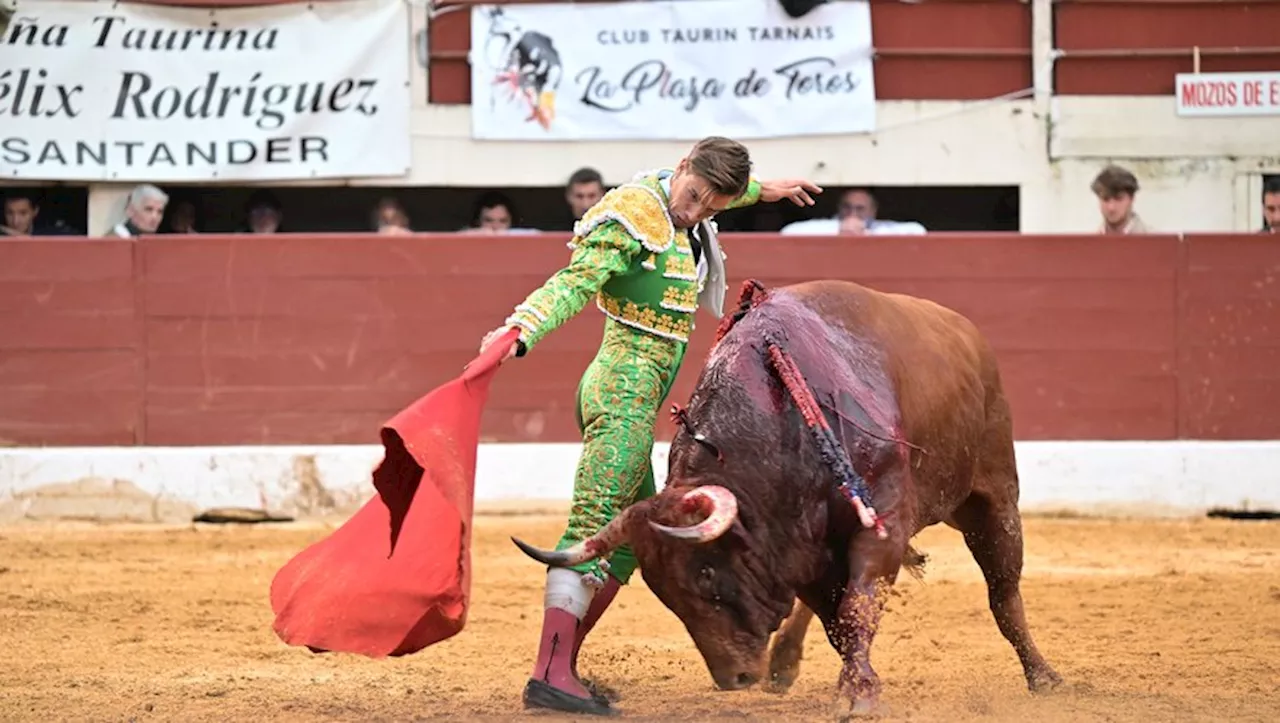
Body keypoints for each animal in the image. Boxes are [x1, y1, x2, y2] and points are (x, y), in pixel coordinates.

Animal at [509, 278, 1059, 711]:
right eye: (663, 592)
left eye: (707, 573)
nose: (734, 679)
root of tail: (967, 333)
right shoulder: (801, 551)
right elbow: (836, 619)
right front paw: (852, 684)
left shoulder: (881, 526)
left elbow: (856, 607)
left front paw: (859, 694)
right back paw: (783, 666)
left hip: (993, 497)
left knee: (1003, 591)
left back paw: (1043, 675)